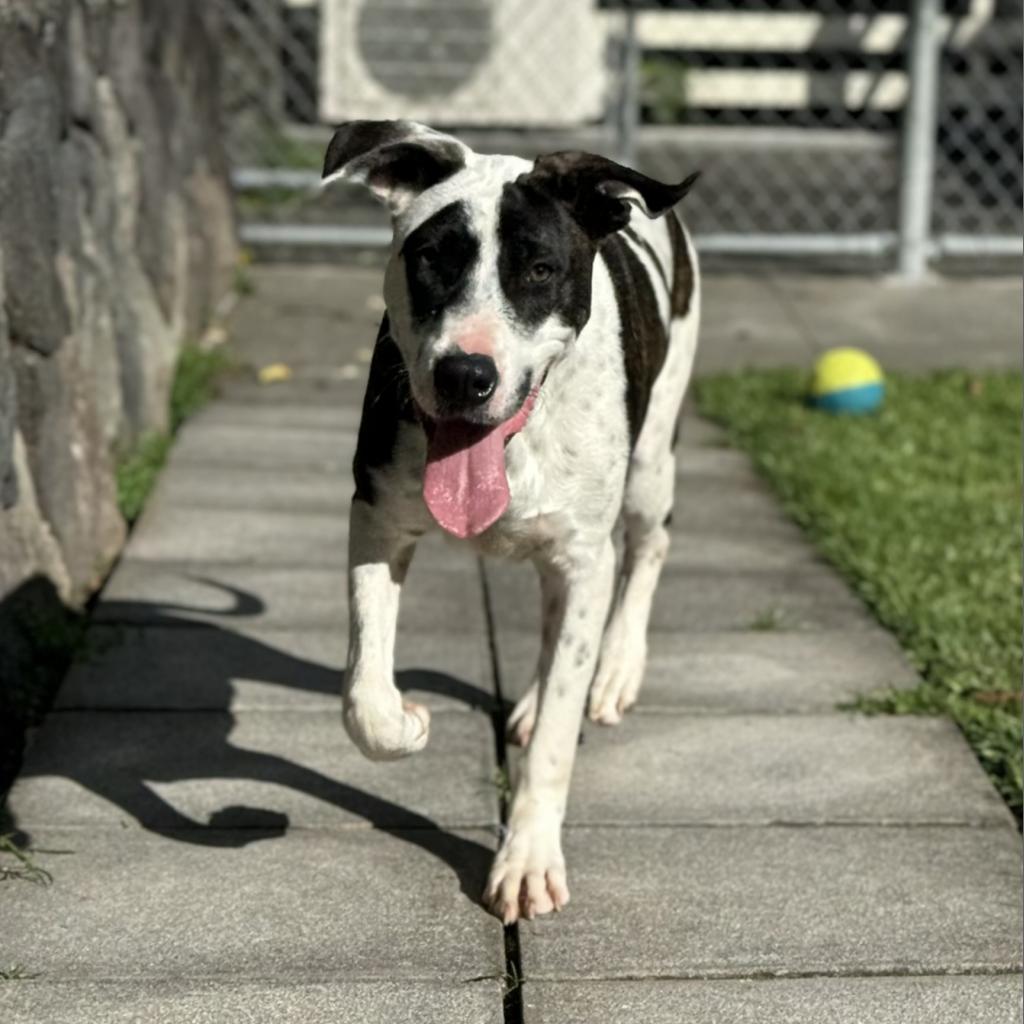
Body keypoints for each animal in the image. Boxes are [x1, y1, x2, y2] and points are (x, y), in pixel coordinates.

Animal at [323, 121, 700, 929]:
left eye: (539, 269)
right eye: (432, 259)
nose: (466, 375)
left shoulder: (586, 555)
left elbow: (558, 737)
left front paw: (526, 860)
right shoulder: (377, 516)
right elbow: (363, 691)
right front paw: (407, 723)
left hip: (653, 459)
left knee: (649, 546)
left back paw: (613, 671)